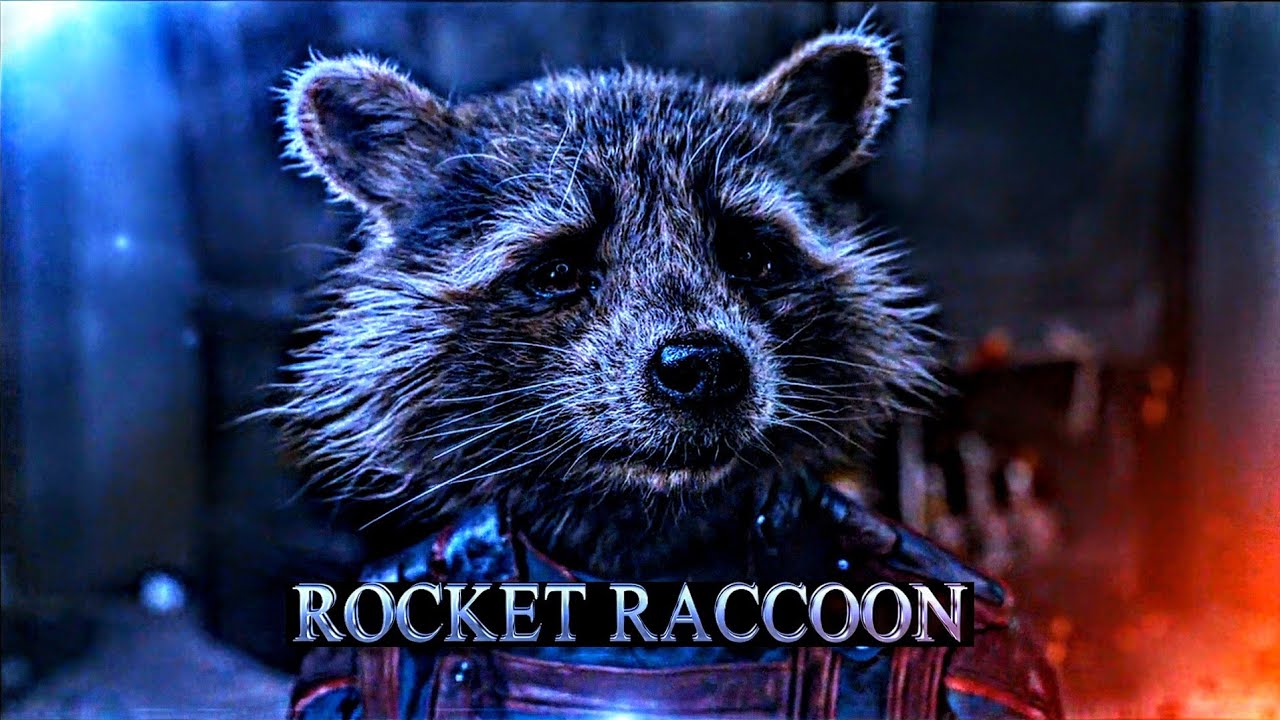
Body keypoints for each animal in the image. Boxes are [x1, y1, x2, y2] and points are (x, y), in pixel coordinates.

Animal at [275, 26, 1062, 720]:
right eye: (558, 271)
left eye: (752, 256)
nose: (704, 367)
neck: (649, 554)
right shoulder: (338, 670)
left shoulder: (991, 667)